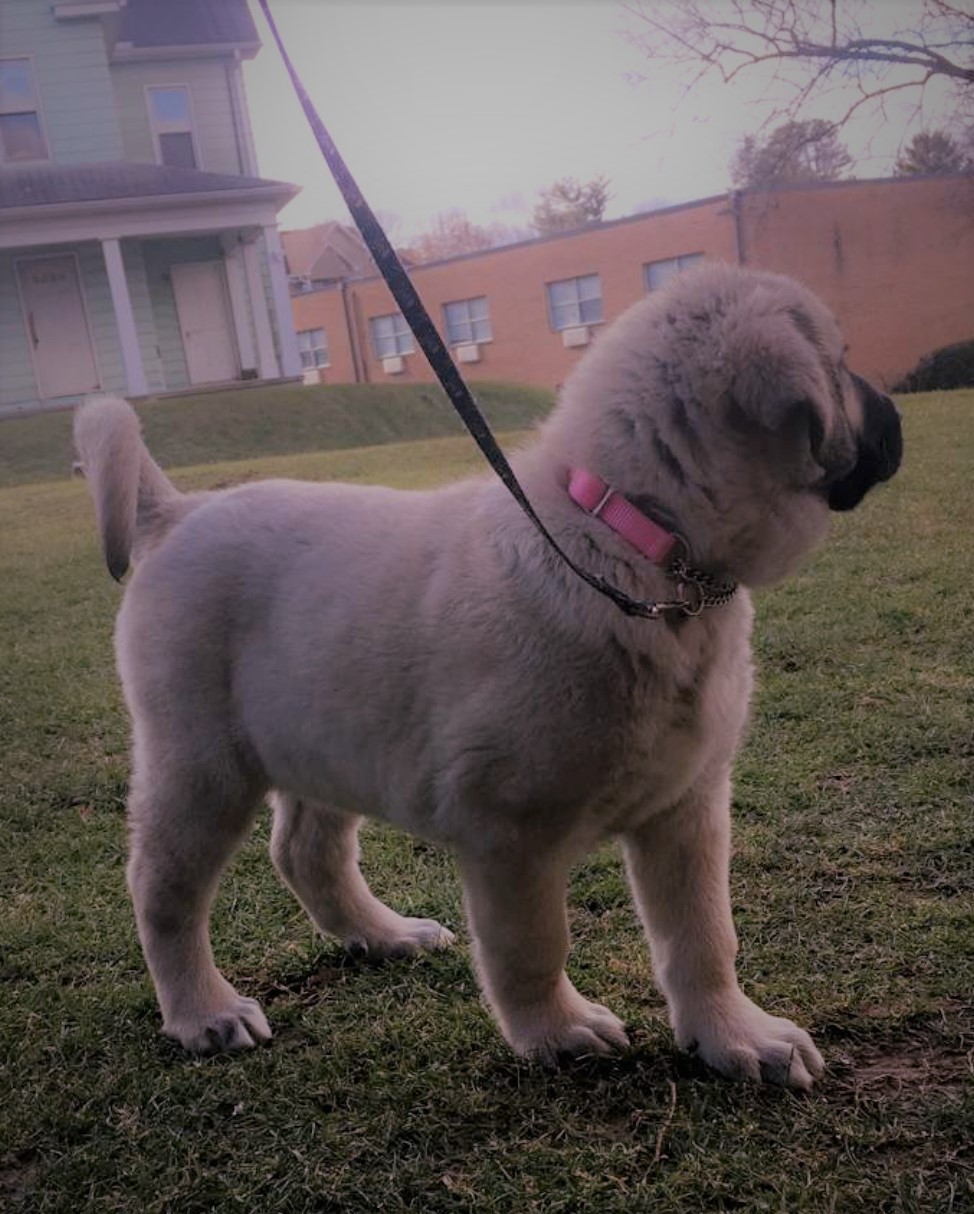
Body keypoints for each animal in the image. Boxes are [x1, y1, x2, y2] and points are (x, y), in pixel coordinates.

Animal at [77, 265, 903, 1092]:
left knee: (306, 852)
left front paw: (733, 1035)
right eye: (842, 362)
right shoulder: (511, 832)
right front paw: (556, 1030)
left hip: (323, 732)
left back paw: (383, 934)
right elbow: (534, 944)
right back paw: (203, 1011)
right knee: (163, 892)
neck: (631, 547)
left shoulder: (687, 807)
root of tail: (176, 510)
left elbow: (703, 936)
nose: (898, 416)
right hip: (202, 765)